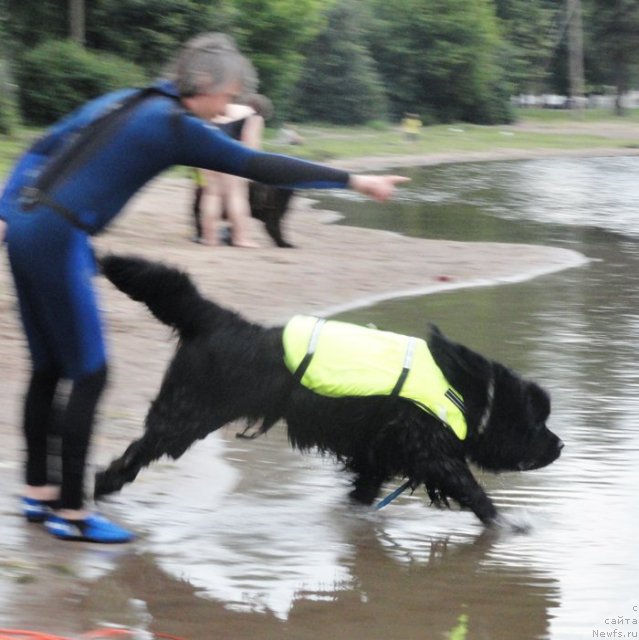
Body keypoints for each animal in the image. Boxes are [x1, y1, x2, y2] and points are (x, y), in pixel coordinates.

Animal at [95, 252, 564, 528]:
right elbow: (469, 487)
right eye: (537, 422)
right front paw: (505, 523)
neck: (469, 395)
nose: (560, 445)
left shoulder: (377, 457)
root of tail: (217, 319)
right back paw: (102, 487)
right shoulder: (431, 451)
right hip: (186, 415)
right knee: (137, 452)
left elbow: (363, 492)